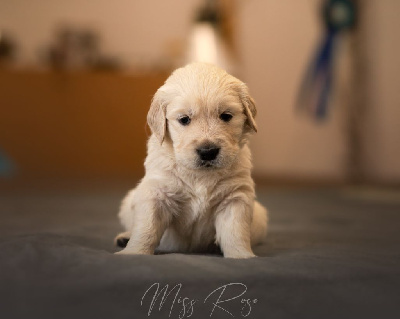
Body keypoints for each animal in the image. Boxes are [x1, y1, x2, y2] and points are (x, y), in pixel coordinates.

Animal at [114, 63, 268, 260]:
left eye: (226, 116)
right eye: (184, 119)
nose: (208, 152)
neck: (200, 175)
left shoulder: (235, 197)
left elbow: (235, 232)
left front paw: (241, 256)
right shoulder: (156, 194)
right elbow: (146, 228)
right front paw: (133, 253)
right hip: (128, 201)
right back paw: (124, 238)